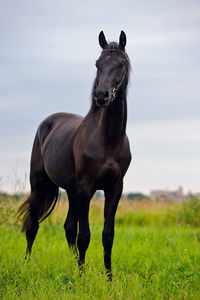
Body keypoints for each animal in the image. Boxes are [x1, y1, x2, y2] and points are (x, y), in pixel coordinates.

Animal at [18, 30, 132, 278]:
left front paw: (108, 278)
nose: (102, 95)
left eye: (121, 63)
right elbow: (85, 236)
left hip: (71, 191)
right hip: (39, 184)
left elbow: (107, 236)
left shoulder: (114, 189)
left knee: (68, 228)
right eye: (98, 63)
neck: (108, 140)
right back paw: (27, 264)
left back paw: (72, 264)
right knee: (33, 225)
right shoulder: (86, 188)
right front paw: (81, 278)